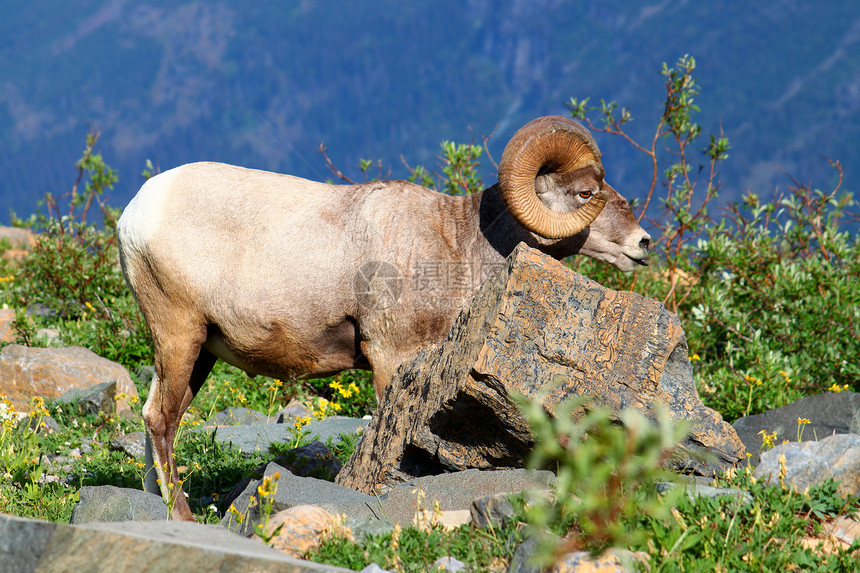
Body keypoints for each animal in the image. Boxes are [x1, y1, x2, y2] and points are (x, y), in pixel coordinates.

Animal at [117, 116, 648, 520]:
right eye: (586, 193)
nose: (642, 244)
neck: (458, 245)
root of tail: (133, 216)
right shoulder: (392, 356)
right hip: (180, 332)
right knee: (160, 419)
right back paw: (182, 517)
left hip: (198, 351)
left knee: (155, 417)